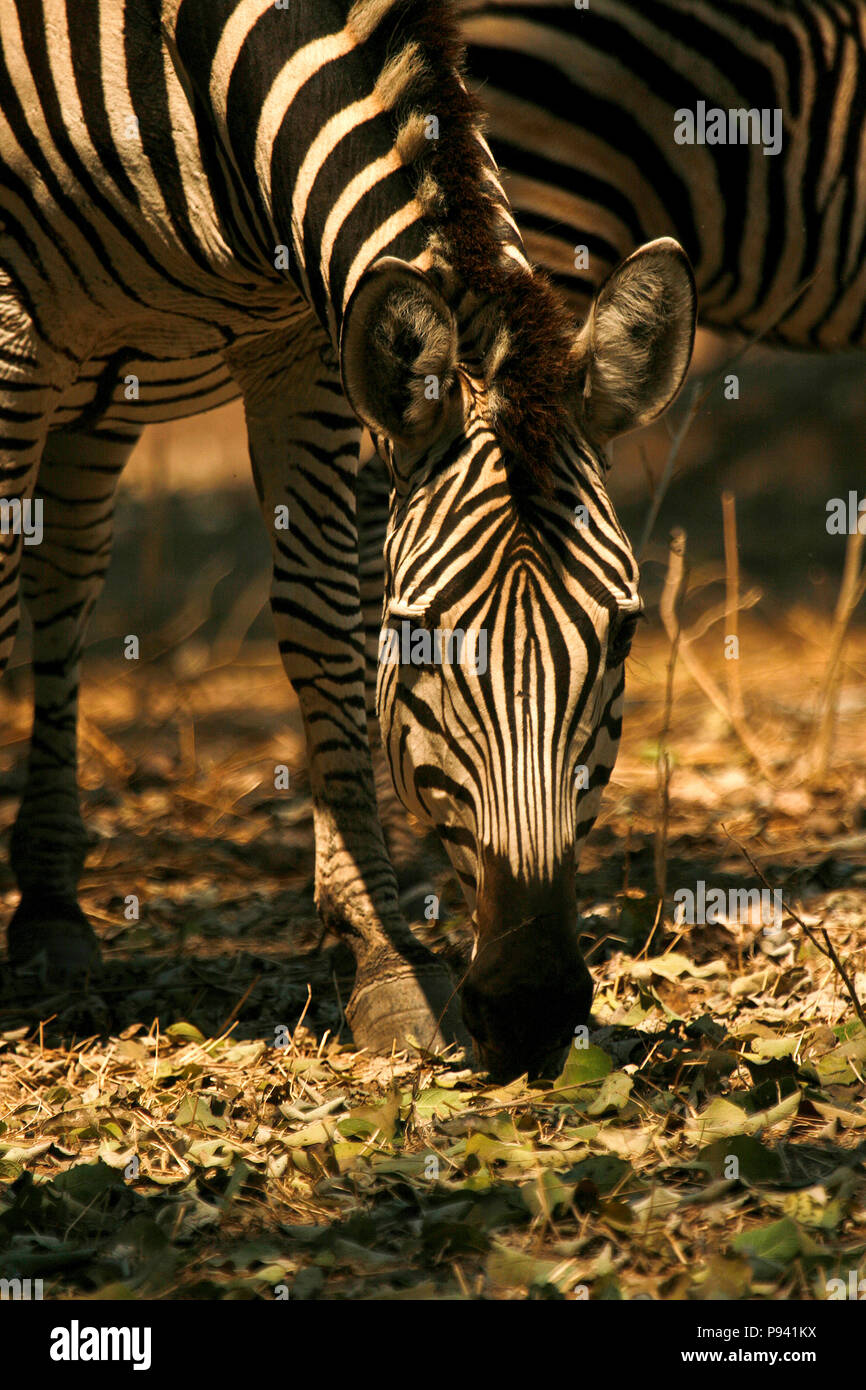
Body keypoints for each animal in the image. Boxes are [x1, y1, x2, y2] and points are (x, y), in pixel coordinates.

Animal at [0, 0, 692, 1078]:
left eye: (623, 633)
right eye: (416, 639)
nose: (533, 1007)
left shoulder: (303, 336)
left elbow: (322, 613)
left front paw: (383, 955)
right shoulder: (15, 326)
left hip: (106, 370)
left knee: (65, 575)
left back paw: (49, 912)